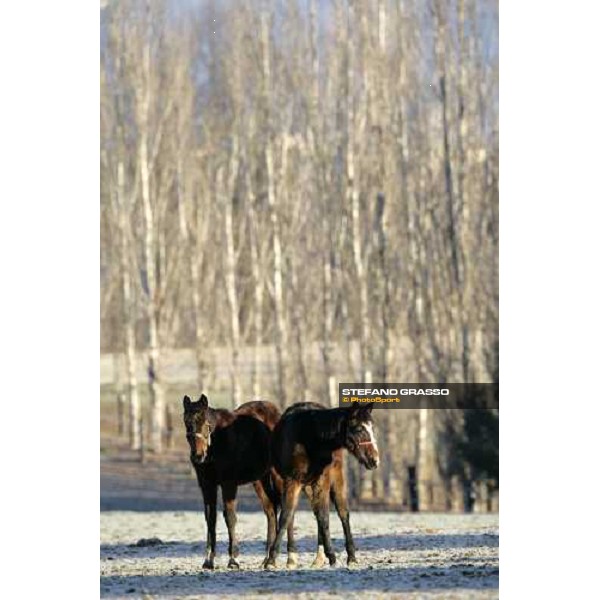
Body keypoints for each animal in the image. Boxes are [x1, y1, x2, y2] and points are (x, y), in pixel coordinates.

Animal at [182, 396, 280, 568]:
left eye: (206, 423)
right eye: (186, 422)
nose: (198, 456)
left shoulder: (228, 484)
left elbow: (230, 516)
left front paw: (233, 558)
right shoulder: (207, 486)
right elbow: (210, 518)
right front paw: (208, 559)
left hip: (277, 475)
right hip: (259, 480)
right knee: (271, 510)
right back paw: (268, 558)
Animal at [264, 400, 378, 568]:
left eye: (371, 427)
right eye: (359, 429)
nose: (374, 460)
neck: (311, 437)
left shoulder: (322, 480)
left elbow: (324, 516)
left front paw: (332, 555)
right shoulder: (290, 480)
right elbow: (286, 516)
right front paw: (273, 559)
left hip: (334, 479)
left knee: (342, 514)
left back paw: (350, 557)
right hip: (305, 485)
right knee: (313, 513)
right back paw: (314, 557)